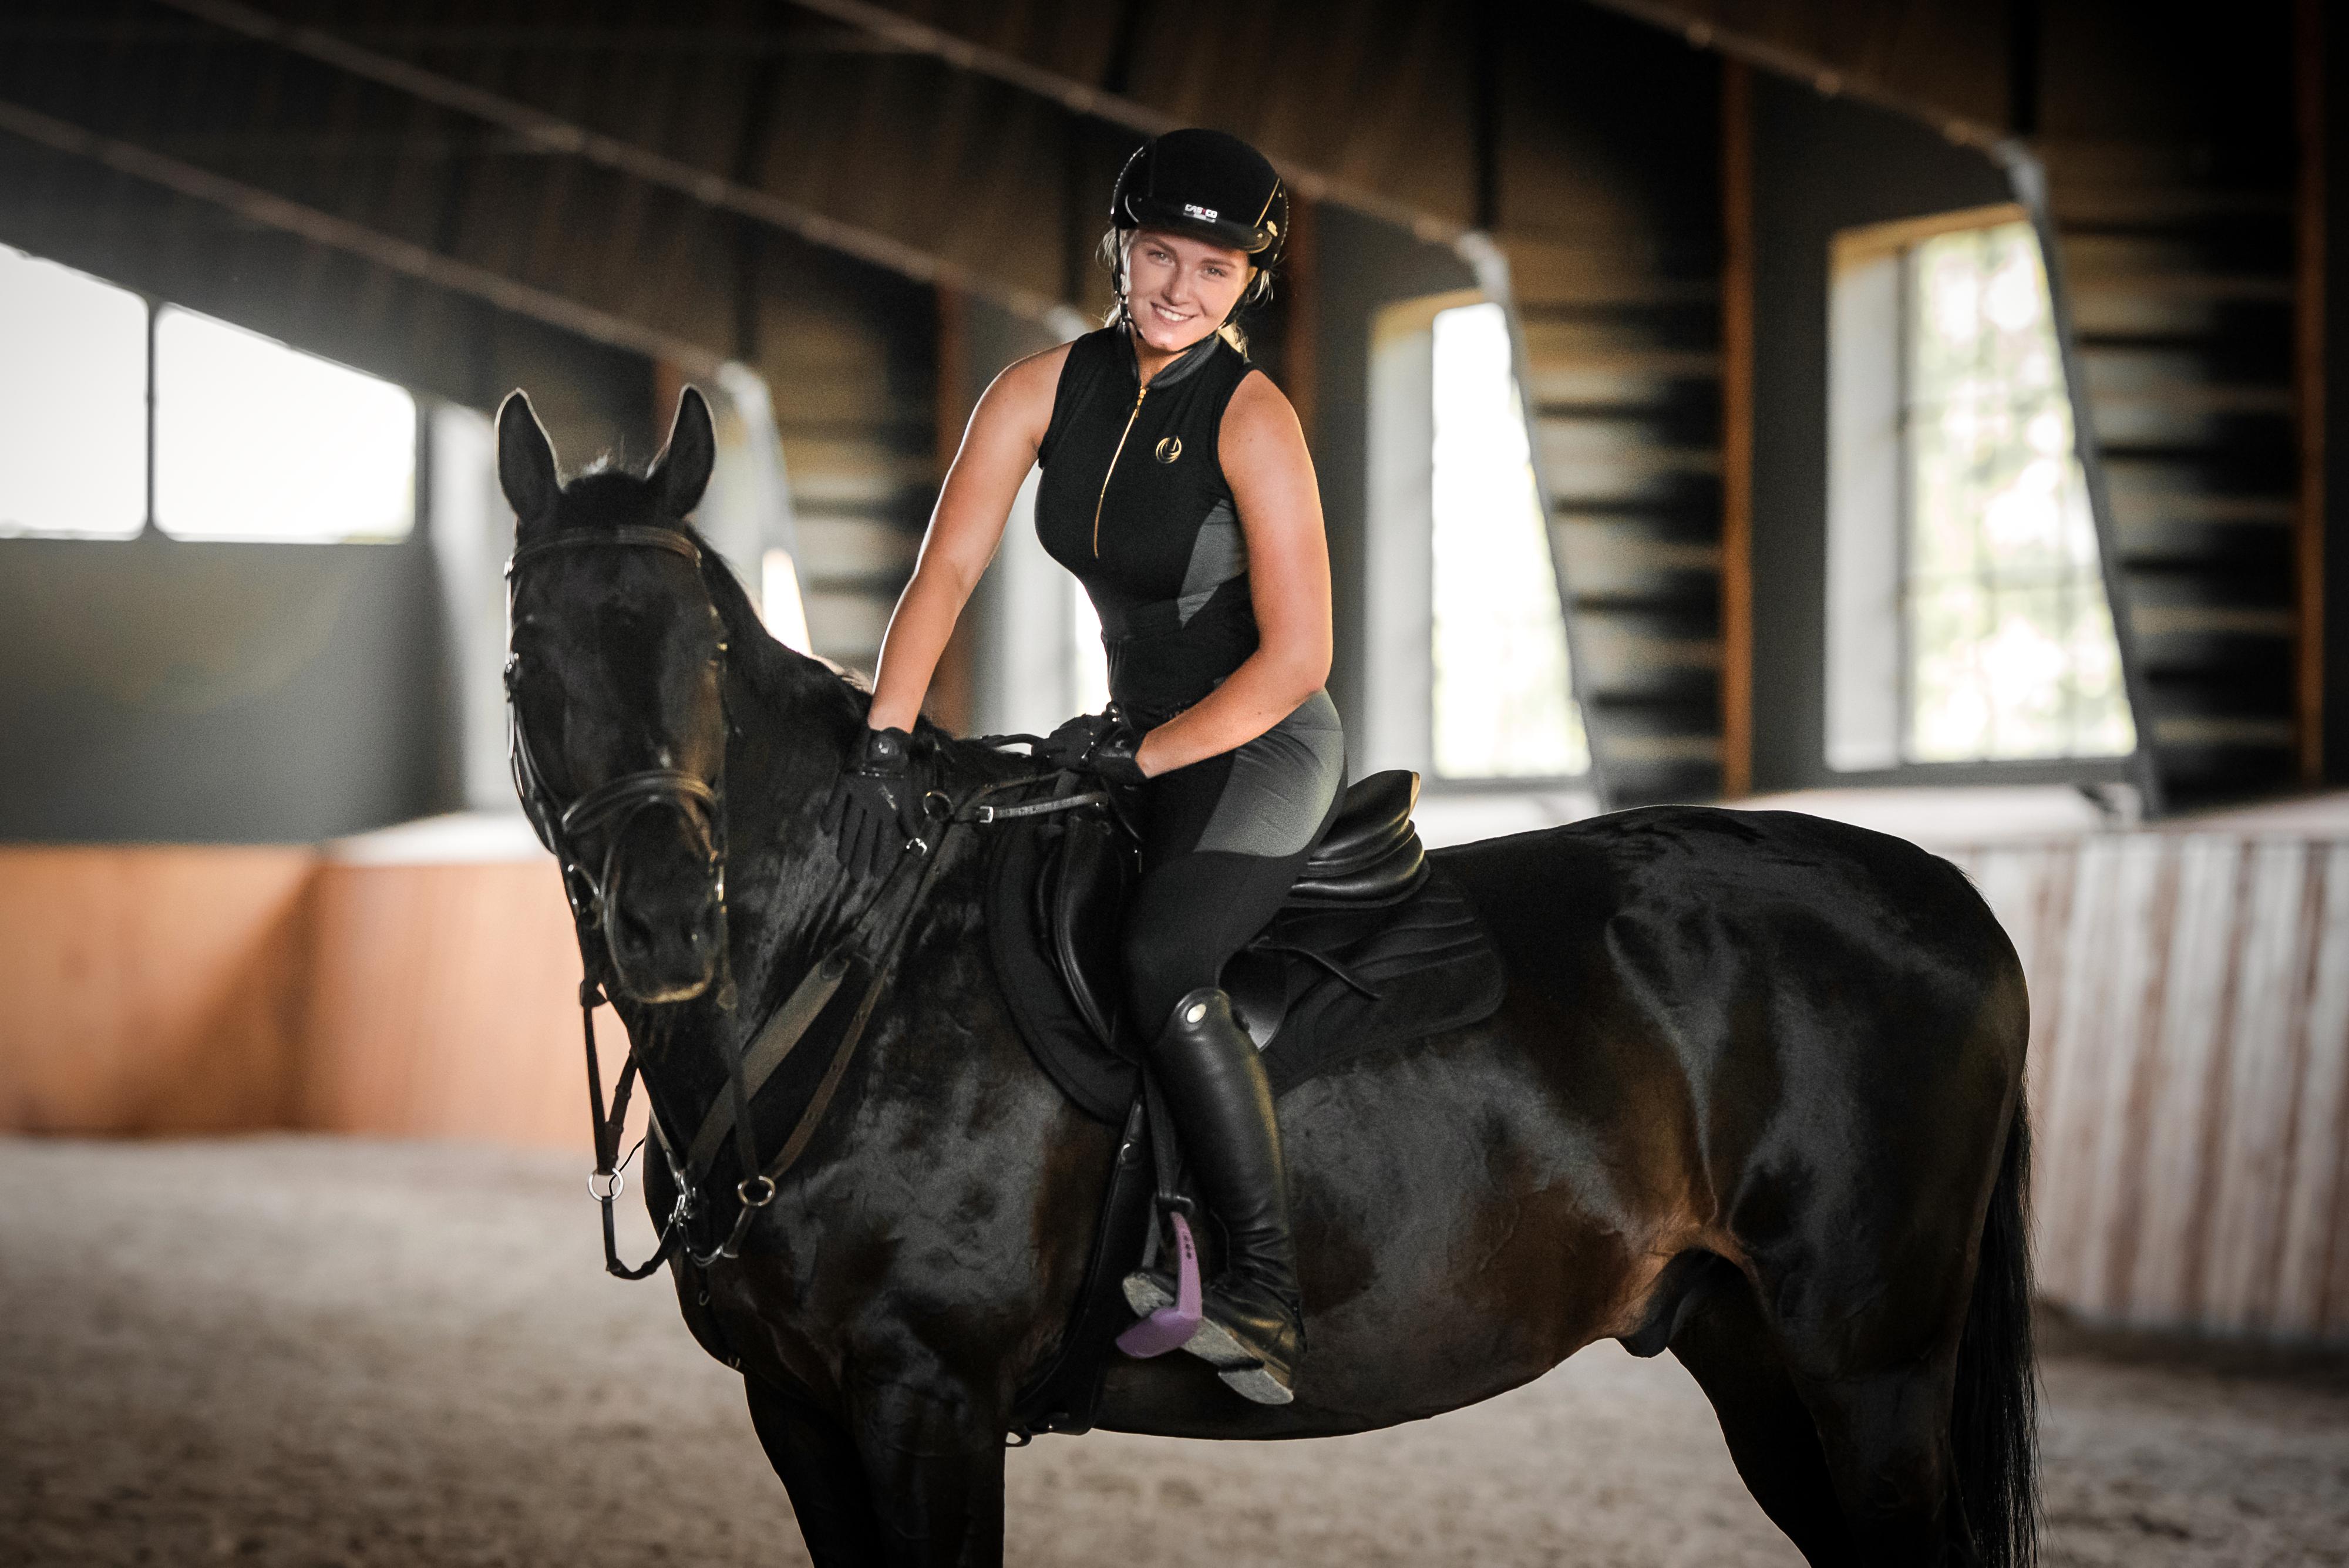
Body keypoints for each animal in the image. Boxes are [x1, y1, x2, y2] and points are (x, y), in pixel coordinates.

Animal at [497, 384, 2038, 1568]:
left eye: (705, 649)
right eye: (525, 663)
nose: (665, 924)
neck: (844, 968)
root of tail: (1946, 893)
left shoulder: (925, 1396)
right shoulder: (798, 1407)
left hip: (1866, 1367)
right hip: (1757, 1355)